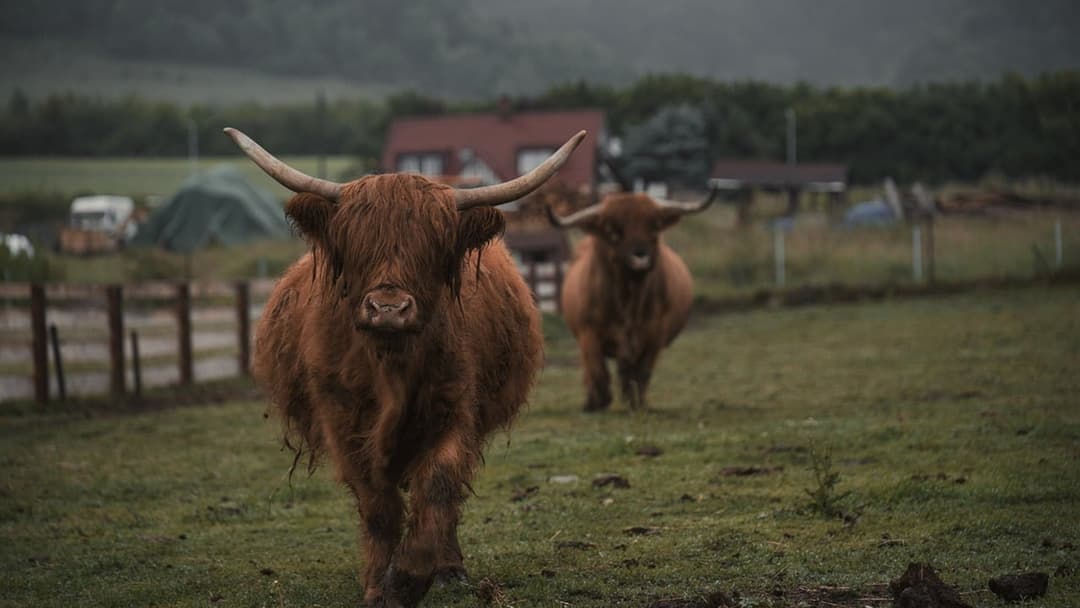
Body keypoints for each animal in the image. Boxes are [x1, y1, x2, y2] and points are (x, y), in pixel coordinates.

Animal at [224, 127, 586, 607]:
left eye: (431, 245)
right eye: (356, 243)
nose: (388, 309)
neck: (390, 363)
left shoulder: (454, 413)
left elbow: (438, 486)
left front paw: (411, 577)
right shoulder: (343, 422)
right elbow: (378, 507)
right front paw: (380, 585)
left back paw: (449, 568)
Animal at [547, 189, 716, 412]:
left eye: (654, 225)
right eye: (612, 229)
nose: (640, 257)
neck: (628, 303)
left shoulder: (655, 334)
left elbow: (641, 372)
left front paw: (637, 404)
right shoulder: (589, 333)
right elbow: (598, 370)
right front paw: (599, 401)